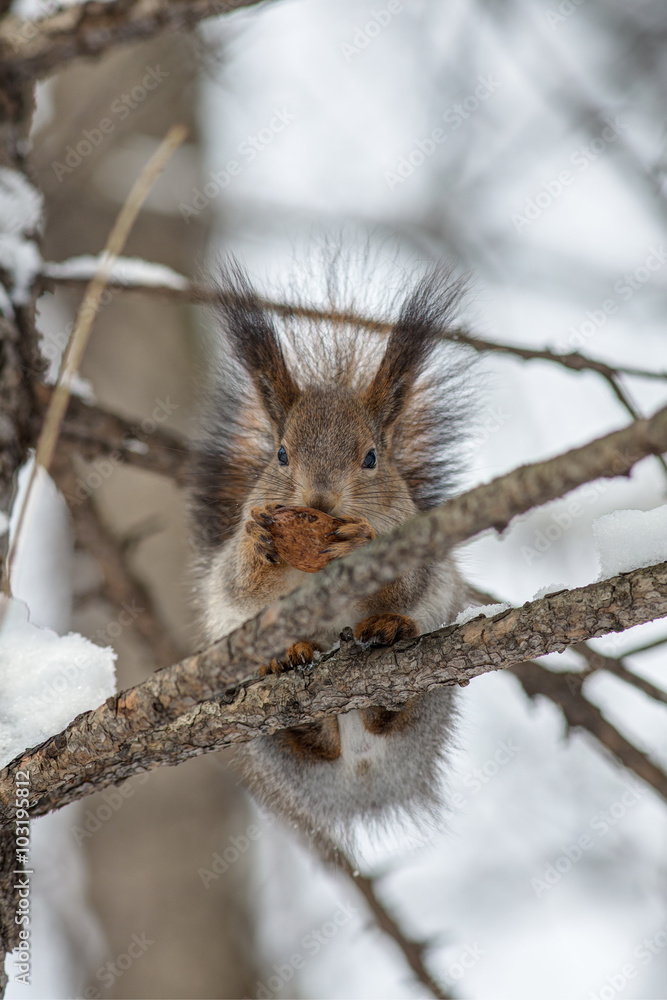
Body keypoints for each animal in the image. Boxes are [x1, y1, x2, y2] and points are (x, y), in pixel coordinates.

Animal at [189, 257, 472, 846]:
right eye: (280, 454)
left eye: (371, 458)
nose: (319, 500)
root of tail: (363, 778)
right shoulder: (234, 569)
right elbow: (238, 581)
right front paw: (260, 545)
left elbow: (410, 577)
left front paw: (363, 540)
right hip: (267, 738)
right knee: (310, 744)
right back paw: (291, 669)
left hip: (434, 696)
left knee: (396, 714)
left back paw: (389, 645)